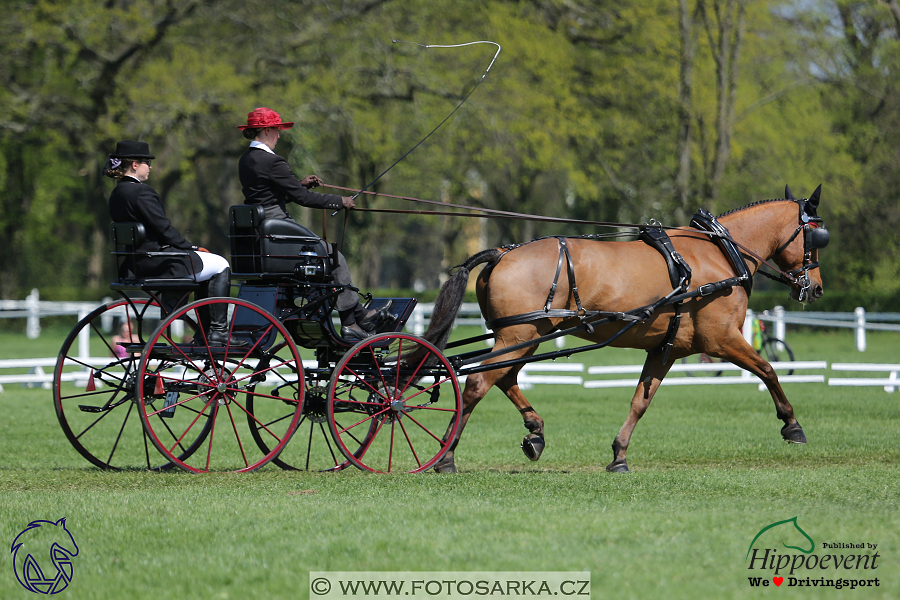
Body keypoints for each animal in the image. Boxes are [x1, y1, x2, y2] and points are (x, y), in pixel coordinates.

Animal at [422, 185, 828, 472]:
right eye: (817, 237)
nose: (816, 288)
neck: (720, 254)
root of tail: (501, 253)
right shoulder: (722, 339)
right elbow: (768, 369)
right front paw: (792, 425)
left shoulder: (666, 349)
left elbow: (640, 401)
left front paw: (619, 455)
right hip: (518, 335)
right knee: (478, 383)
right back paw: (447, 456)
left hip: (527, 336)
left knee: (504, 378)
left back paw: (534, 432)